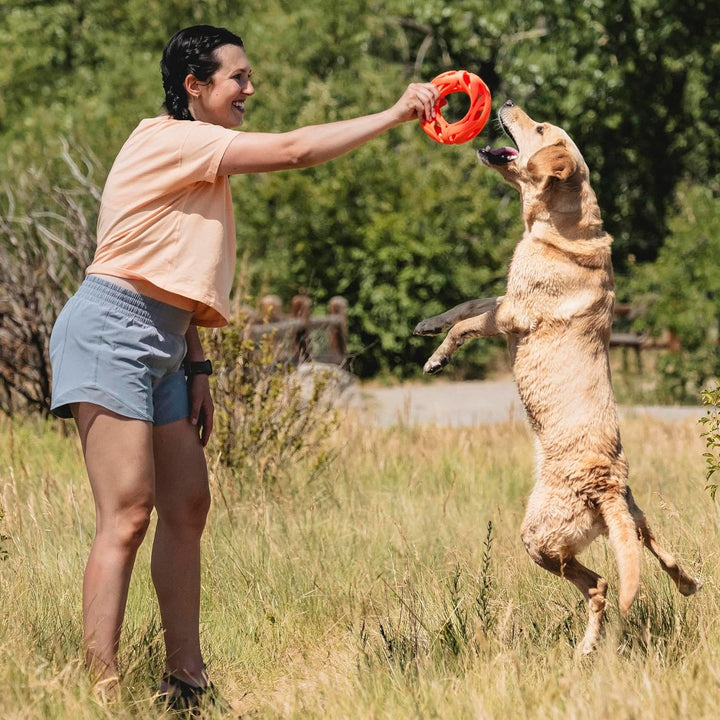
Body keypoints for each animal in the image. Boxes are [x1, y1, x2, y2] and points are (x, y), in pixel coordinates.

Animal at [414, 101, 700, 660]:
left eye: (541, 128)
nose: (505, 103)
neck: (562, 228)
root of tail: (604, 486)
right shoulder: (502, 302)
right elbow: (465, 305)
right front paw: (428, 324)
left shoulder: (513, 315)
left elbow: (466, 325)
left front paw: (437, 358)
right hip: (631, 516)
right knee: (656, 547)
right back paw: (687, 585)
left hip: (540, 538)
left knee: (601, 586)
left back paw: (586, 649)